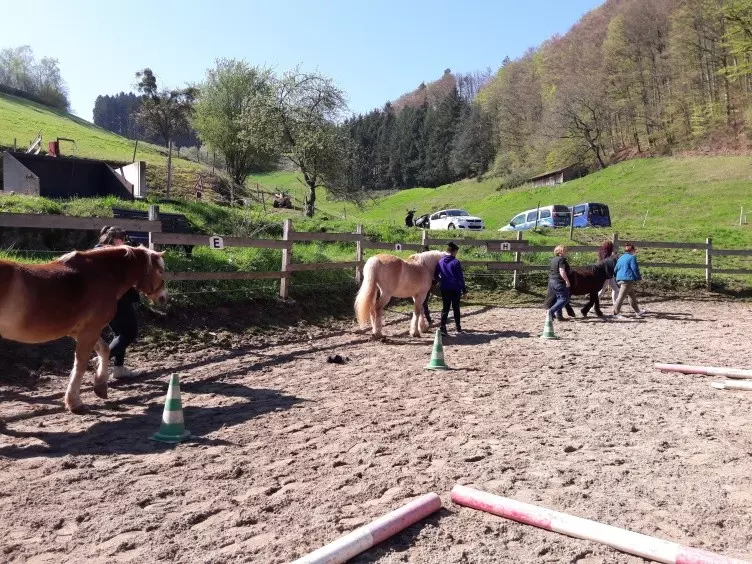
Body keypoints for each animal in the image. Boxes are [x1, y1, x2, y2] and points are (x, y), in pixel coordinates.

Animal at [0, 245, 168, 413]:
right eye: (160, 271)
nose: (163, 298)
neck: (100, 274)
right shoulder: (90, 331)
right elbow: (81, 364)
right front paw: (74, 402)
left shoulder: (81, 332)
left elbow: (104, 350)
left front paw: (100, 386)